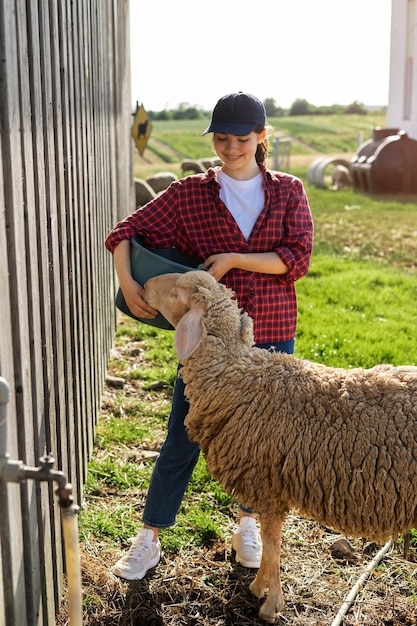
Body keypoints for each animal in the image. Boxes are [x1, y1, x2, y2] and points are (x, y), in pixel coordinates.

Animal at [142, 270, 416, 620]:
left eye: (177, 293)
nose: (145, 286)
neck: (237, 377)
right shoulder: (268, 487)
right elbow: (268, 542)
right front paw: (260, 588)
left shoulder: (268, 486)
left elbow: (272, 546)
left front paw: (269, 603)